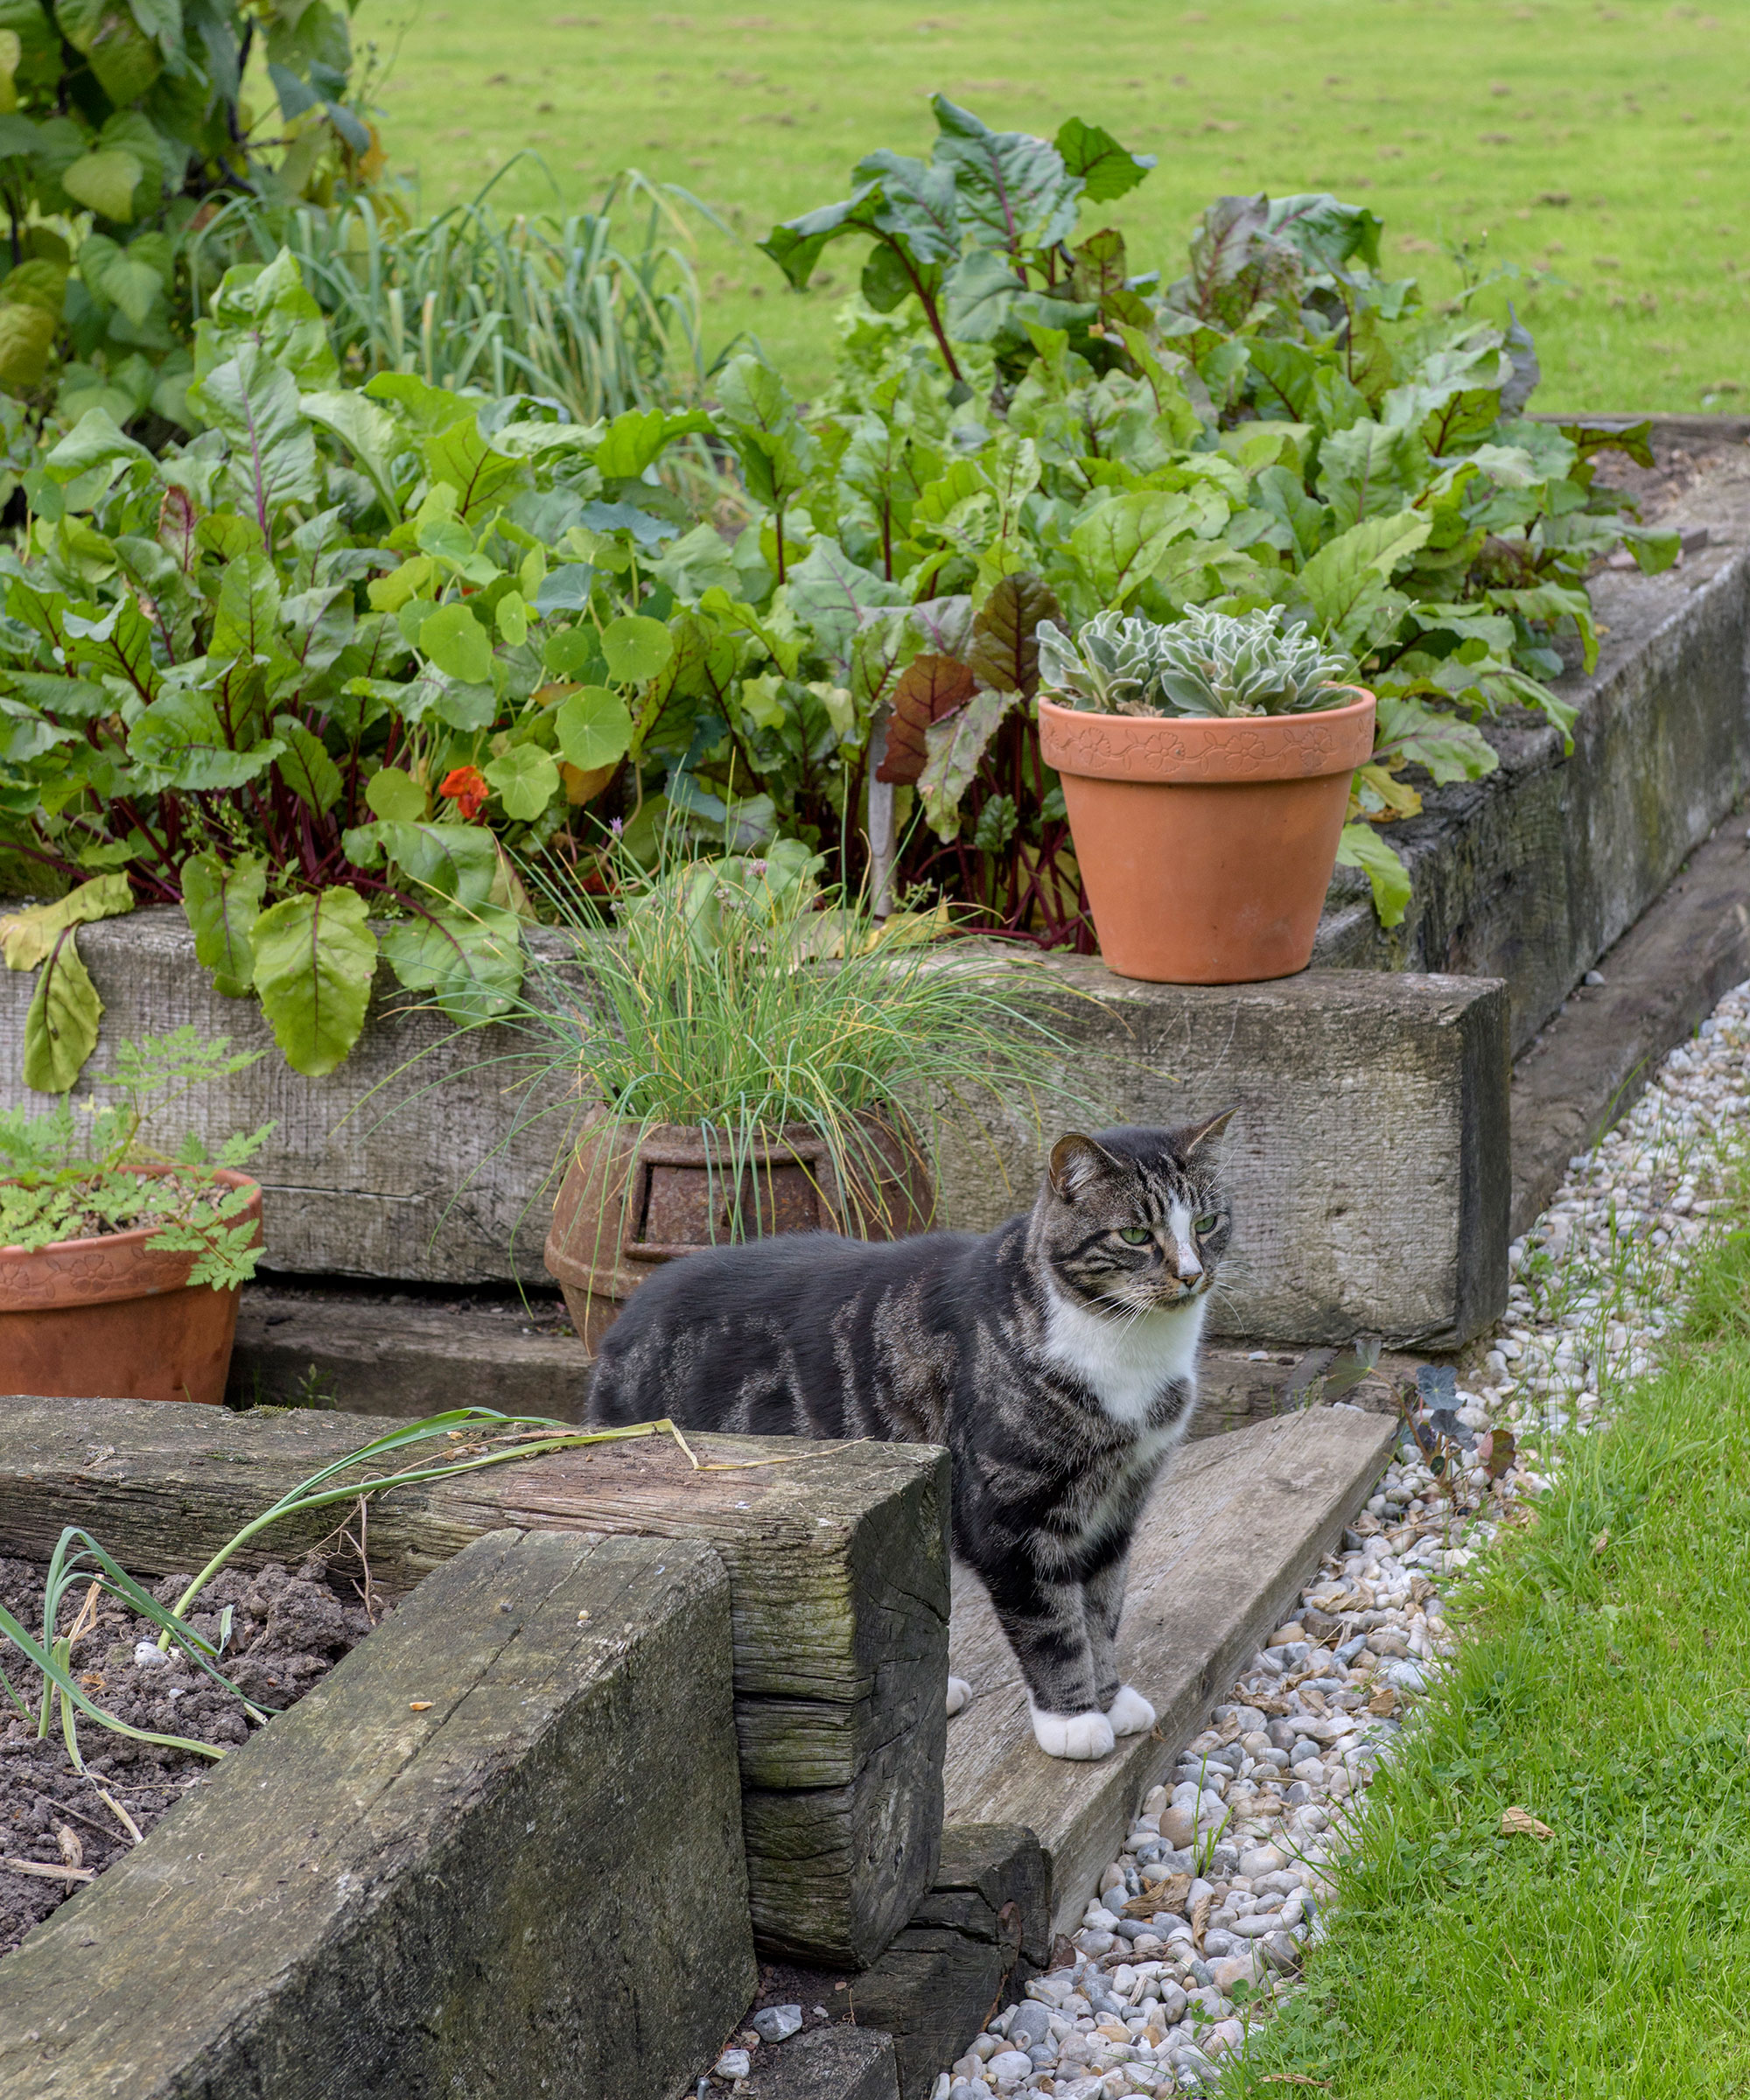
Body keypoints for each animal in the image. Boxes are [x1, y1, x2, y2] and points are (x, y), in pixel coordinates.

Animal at [584, 1116, 1227, 1755]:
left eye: (1208, 1223)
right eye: (1135, 1235)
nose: (1192, 1274)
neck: (1129, 1351)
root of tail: (619, 1326)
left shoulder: (1116, 1509)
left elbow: (1102, 1611)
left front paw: (1111, 1700)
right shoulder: (1011, 1519)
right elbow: (1053, 1624)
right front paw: (1073, 1720)